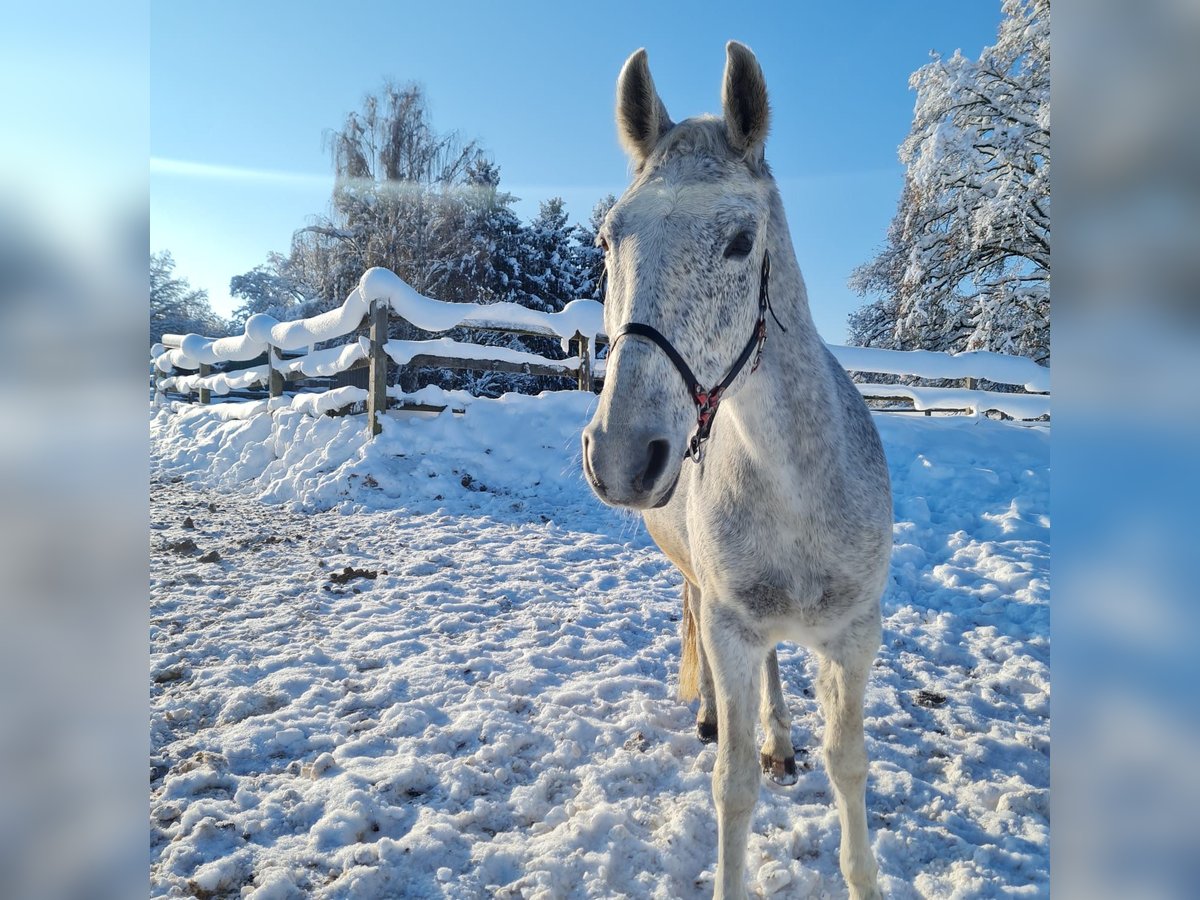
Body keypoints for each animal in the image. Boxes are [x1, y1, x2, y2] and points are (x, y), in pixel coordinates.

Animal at [580, 44, 892, 900]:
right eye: (608, 241)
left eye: (741, 241)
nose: (622, 454)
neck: (799, 488)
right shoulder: (730, 625)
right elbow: (734, 787)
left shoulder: (855, 636)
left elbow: (849, 765)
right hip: (704, 591)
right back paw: (717, 717)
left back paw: (781, 740)